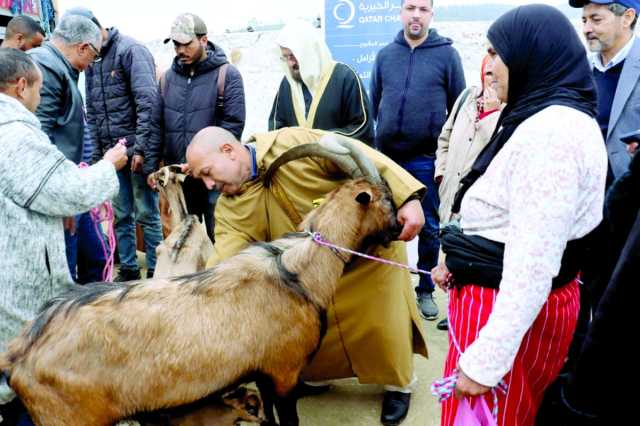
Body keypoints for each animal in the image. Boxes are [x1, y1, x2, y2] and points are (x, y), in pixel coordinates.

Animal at [0, 136, 400, 426]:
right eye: (387, 199)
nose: (399, 228)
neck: (295, 271)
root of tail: (18, 354)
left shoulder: (264, 372)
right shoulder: (284, 370)